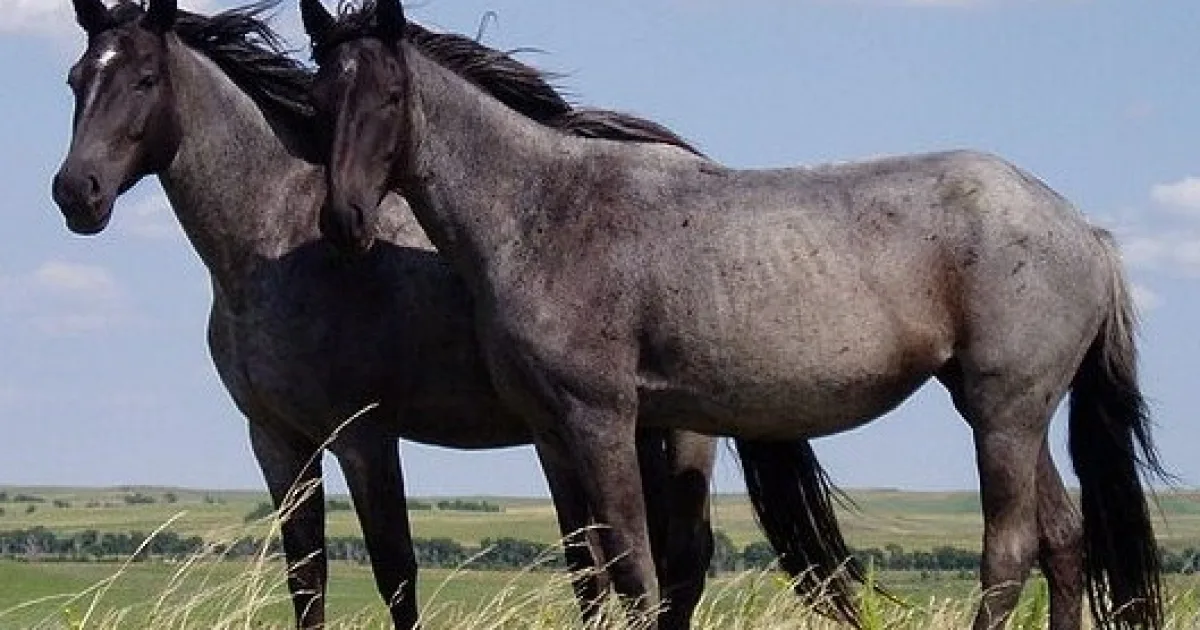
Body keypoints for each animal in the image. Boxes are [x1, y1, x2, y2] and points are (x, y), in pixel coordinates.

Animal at [50, 1, 725, 627]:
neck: (272, 244)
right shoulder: (277, 440)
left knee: (679, 564)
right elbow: (306, 577)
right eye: (77, 78)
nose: (76, 191)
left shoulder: (364, 437)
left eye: (144, 79)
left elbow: (396, 570)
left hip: (679, 434)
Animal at [299, 0, 1169, 628]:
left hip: (1003, 415)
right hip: (1009, 412)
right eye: (318, 98)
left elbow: (633, 569)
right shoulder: (550, 431)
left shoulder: (603, 420)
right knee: (1063, 543)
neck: (544, 212)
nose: (343, 221)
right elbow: (589, 573)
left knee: (1009, 553)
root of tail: (1081, 228)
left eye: (390, 96)